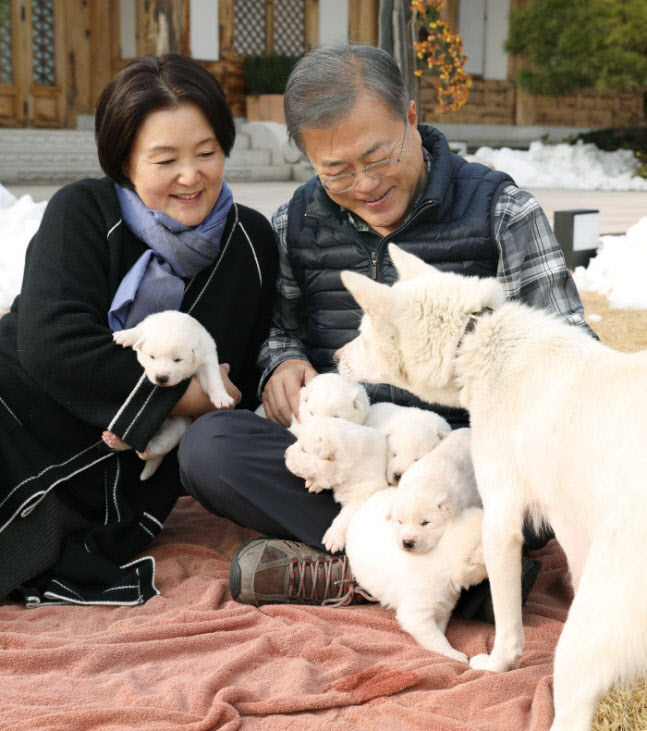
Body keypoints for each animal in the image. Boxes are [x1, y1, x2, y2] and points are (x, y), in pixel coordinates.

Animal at [112, 308, 234, 480]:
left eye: (178, 360)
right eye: (152, 356)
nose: (161, 378)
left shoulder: (207, 357)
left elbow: (213, 378)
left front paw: (222, 398)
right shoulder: (148, 323)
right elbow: (139, 330)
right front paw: (125, 335)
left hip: (178, 427)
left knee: (159, 446)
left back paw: (137, 447)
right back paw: (115, 440)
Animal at [284, 414, 388, 552]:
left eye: (304, 450)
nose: (285, 454)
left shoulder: (362, 495)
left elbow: (343, 518)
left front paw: (333, 538)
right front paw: (315, 483)